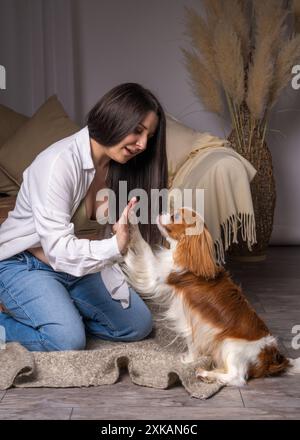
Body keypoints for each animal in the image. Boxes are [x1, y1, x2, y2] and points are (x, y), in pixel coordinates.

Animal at [120, 206, 300, 384]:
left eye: (175, 216)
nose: (161, 212)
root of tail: (271, 356)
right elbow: (192, 344)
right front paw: (190, 359)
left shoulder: (157, 275)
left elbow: (144, 247)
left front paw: (131, 219)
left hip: (229, 345)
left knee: (237, 377)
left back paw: (206, 374)